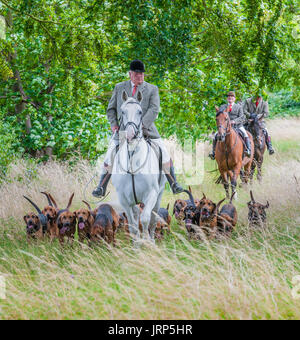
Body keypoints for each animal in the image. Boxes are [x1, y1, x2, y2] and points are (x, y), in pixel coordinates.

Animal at [111, 90, 166, 244]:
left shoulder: (151, 194)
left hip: (158, 196)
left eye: (140, 111)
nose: (130, 135)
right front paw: (137, 244)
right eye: (123, 111)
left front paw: (147, 242)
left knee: (153, 219)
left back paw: (151, 239)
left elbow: (146, 219)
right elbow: (133, 225)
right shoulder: (124, 200)